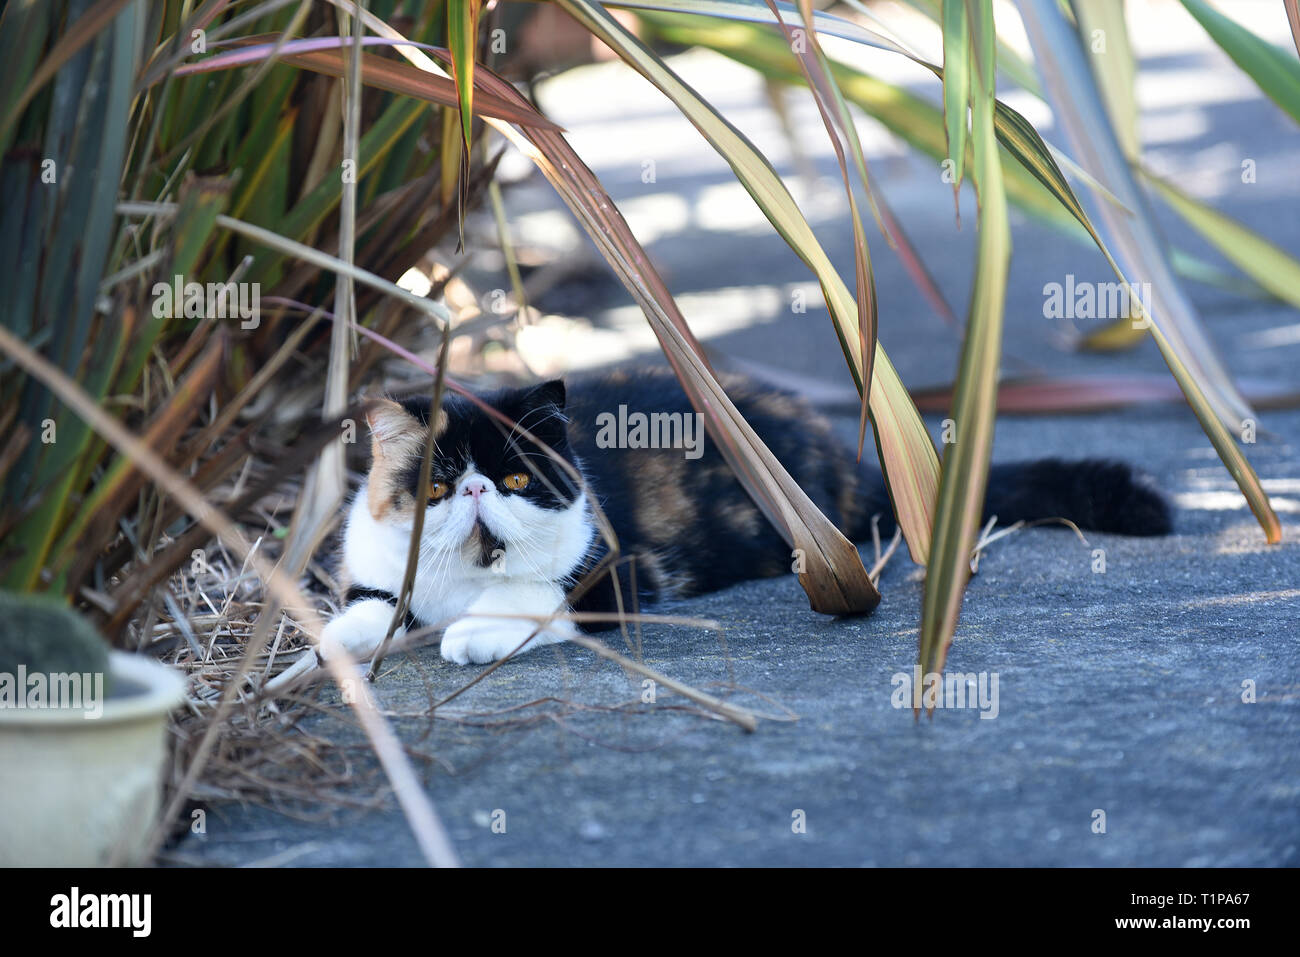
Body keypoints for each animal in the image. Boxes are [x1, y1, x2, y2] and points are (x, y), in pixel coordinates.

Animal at [269, 361, 1175, 686]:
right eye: (438, 482)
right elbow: (366, 610)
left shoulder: (619, 569)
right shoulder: (379, 571)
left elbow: (536, 597)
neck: (464, 578)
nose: (476, 491)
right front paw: (323, 650)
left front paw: (472, 634)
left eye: (518, 477)